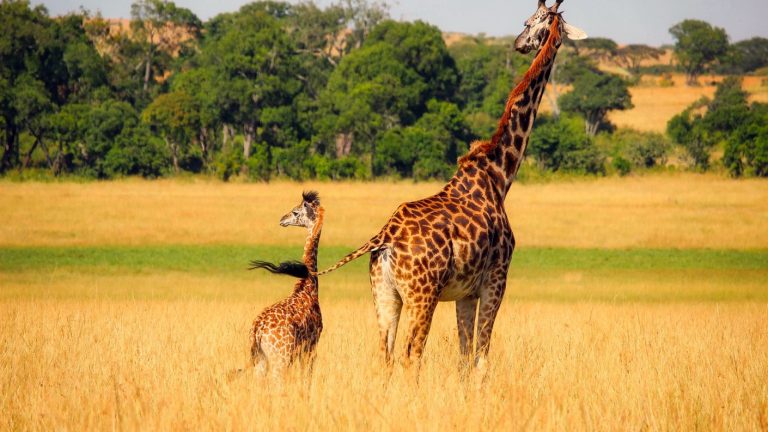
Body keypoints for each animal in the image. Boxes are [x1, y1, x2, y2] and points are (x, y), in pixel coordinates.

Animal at [247, 191, 324, 375]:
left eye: (295, 212)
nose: (282, 219)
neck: (308, 286)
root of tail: (257, 330)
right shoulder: (312, 345)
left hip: (261, 360)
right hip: (280, 359)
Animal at [319, 0, 586, 368]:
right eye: (530, 21)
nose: (520, 43)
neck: (500, 175)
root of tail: (383, 238)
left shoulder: (465, 293)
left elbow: (464, 356)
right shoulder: (496, 280)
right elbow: (482, 357)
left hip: (385, 295)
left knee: (386, 354)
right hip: (423, 294)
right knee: (411, 353)